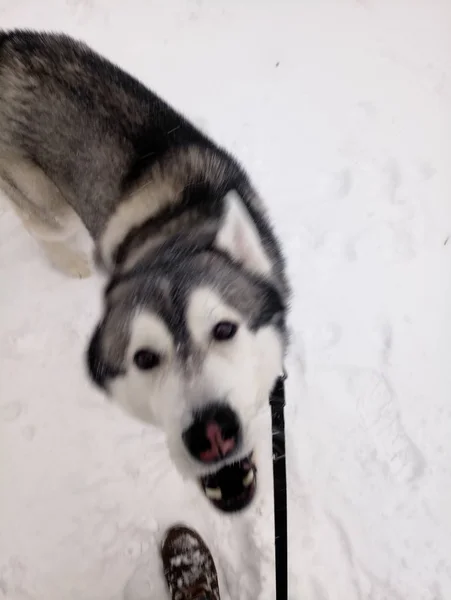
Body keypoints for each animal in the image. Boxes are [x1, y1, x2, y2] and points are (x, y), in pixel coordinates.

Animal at [0, 31, 290, 510]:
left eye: (225, 329)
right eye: (145, 358)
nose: (213, 434)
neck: (175, 237)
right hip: (49, 207)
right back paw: (72, 261)